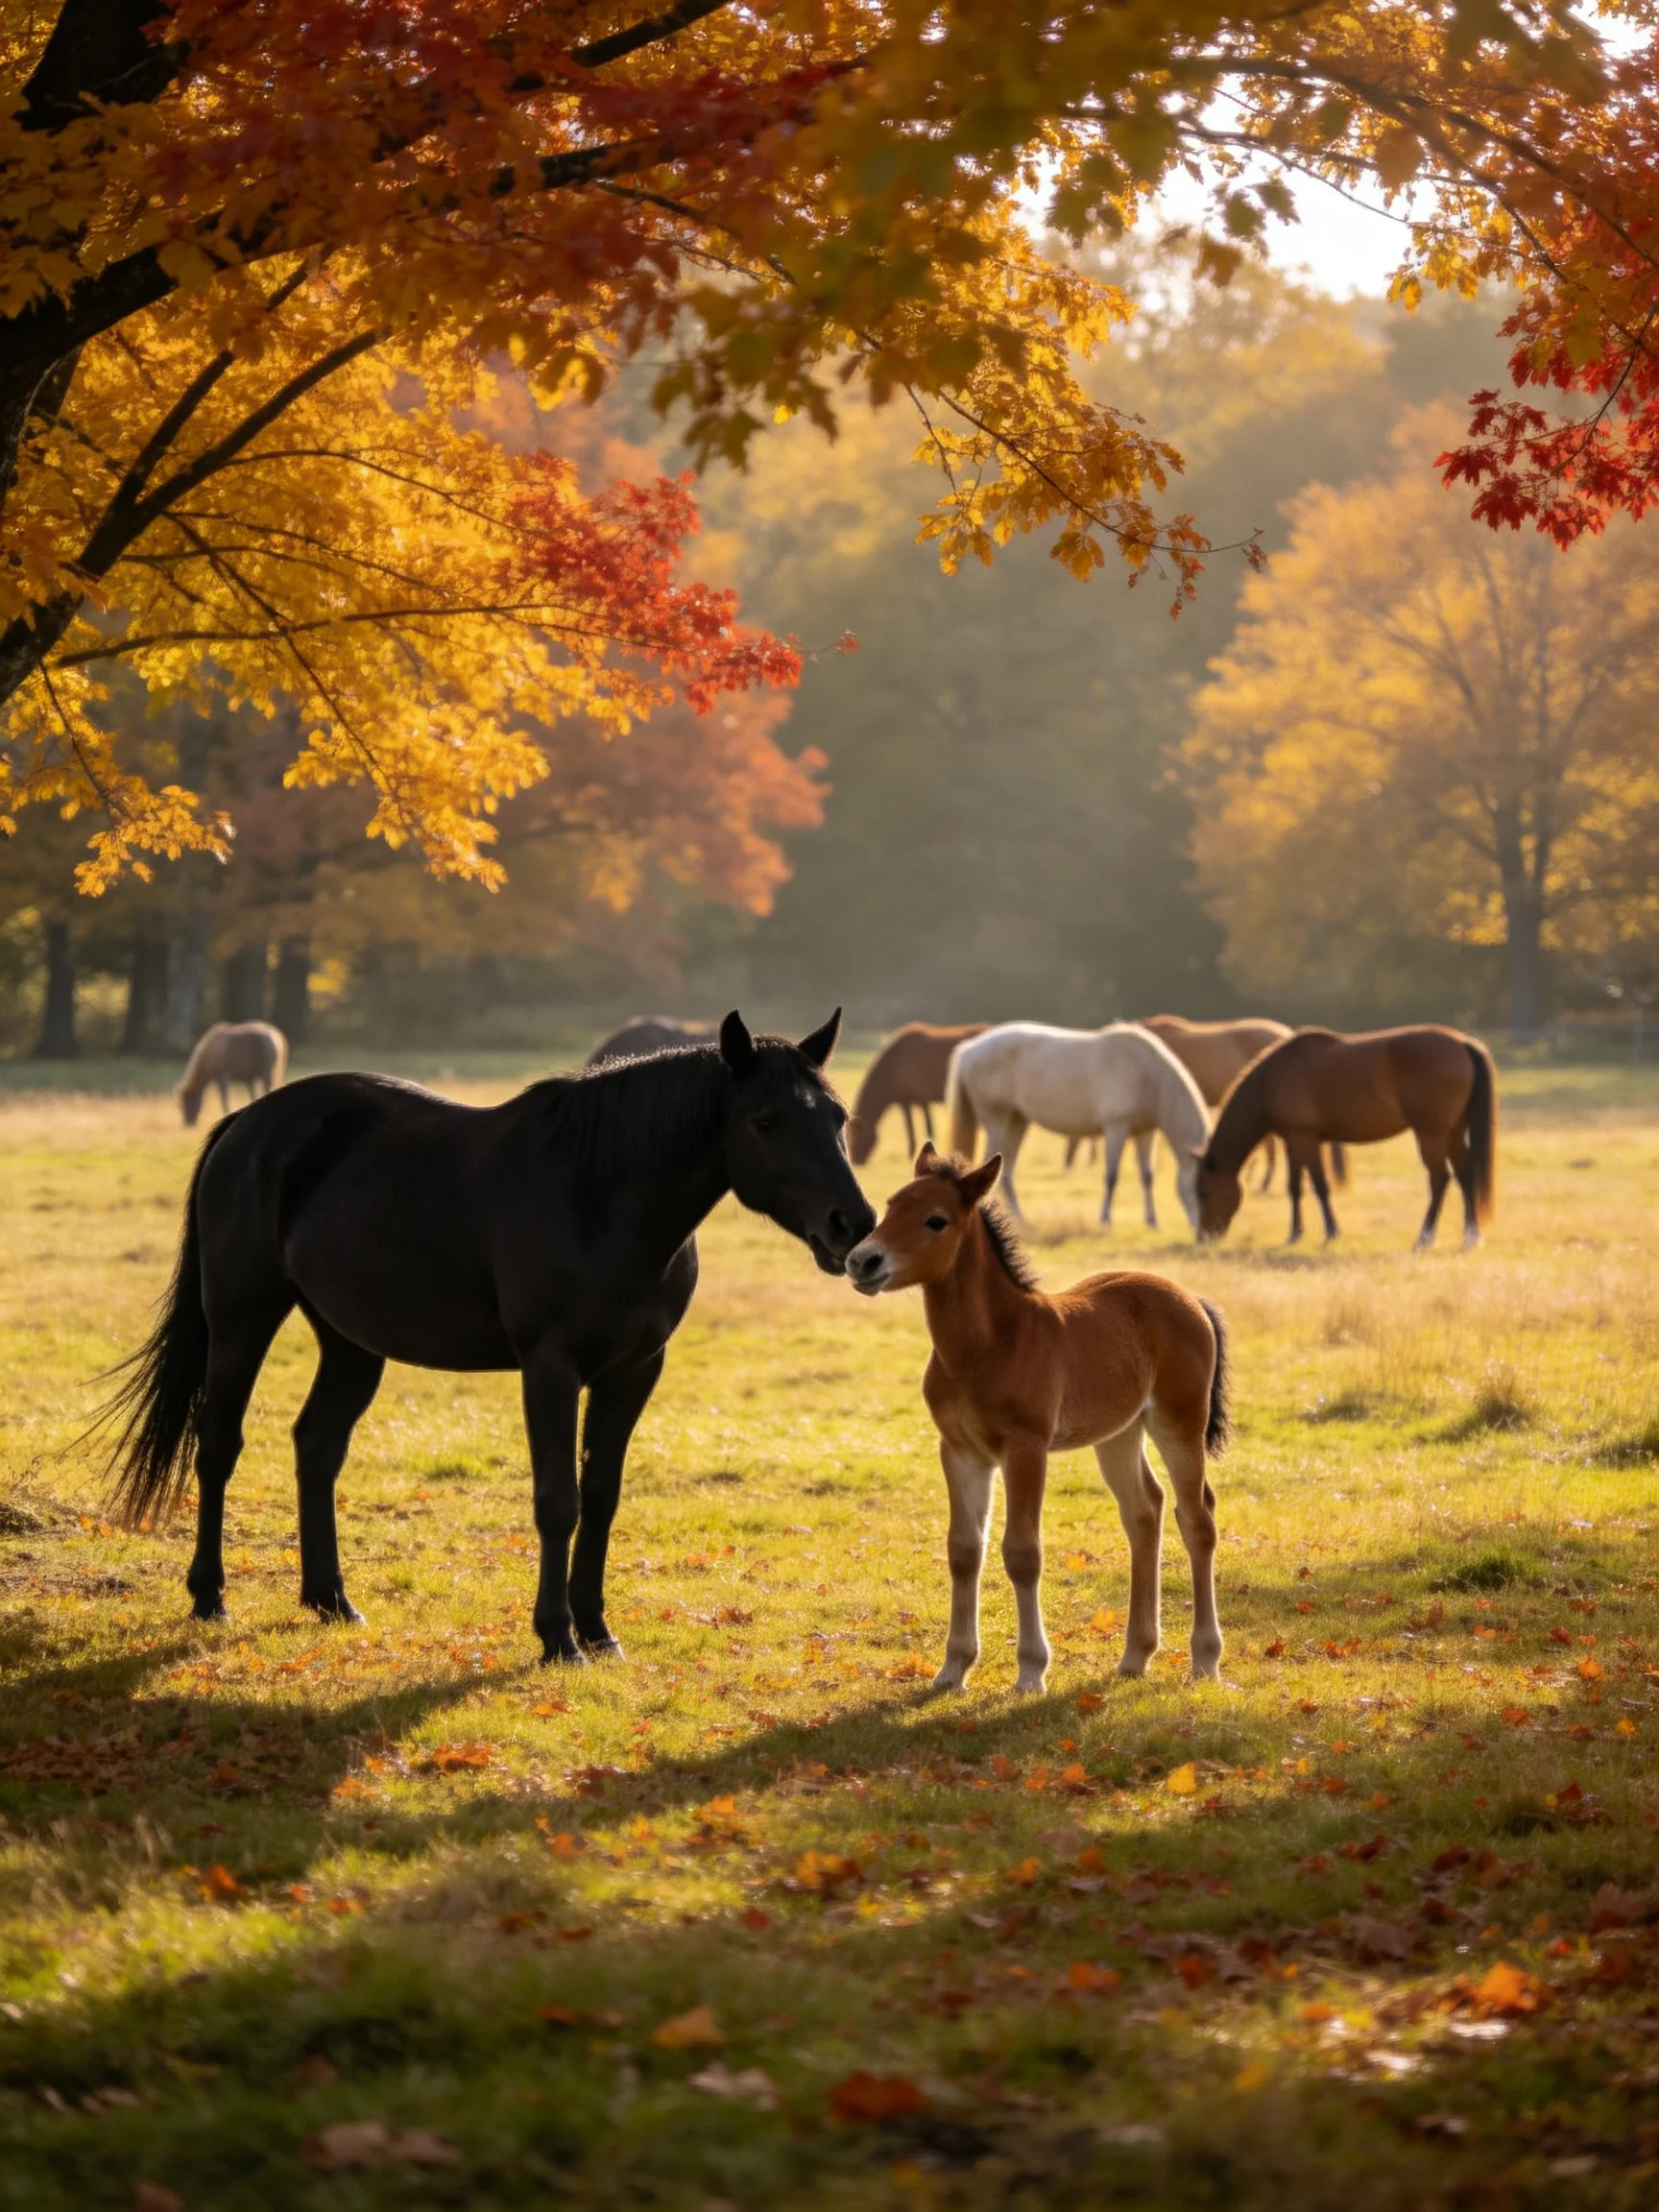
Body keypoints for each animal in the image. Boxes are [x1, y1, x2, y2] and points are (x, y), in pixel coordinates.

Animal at [848, 1144, 1230, 1690]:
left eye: (936, 1220)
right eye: (890, 1206)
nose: (863, 1260)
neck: (987, 1344)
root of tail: (1191, 1299)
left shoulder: (1025, 1449)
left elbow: (1023, 1553)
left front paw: (1030, 1671)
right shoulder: (960, 1450)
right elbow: (964, 1550)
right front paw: (953, 1668)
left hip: (1180, 1421)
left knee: (1196, 1518)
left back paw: (1204, 1660)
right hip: (1119, 1433)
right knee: (1144, 1511)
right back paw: (1134, 1656)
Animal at [849, 1022, 988, 1165]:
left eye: (855, 1135)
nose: (856, 1161)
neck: (894, 1064)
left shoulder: (921, 1101)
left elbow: (926, 1131)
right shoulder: (906, 1103)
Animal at [947, 1022, 1211, 1232]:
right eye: (1200, 1190)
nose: (1202, 1229)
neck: (1147, 1075)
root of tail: (970, 1048)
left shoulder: (1144, 1132)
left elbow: (1147, 1176)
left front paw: (1152, 1221)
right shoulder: (1116, 1128)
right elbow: (1111, 1175)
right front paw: (1105, 1220)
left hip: (1017, 1121)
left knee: (1007, 1170)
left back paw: (1020, 1219)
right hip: (997, 1120)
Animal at [1194, 1025, 1497, 1250]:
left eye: (1205, 1192)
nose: (1205, 1237)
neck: (1275, 1076)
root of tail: (1463, 1044)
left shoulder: (1305, 1138)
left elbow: (1320, 1185)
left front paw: (1331, 1233)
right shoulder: (1293, 1140)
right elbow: (1295, 1187)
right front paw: (1294, 1235)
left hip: (1431, 1134)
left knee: (1439, 1179)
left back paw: (1425, 1238)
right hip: (1452, 1131)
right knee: (1465, 1173)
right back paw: (1471, 1237)